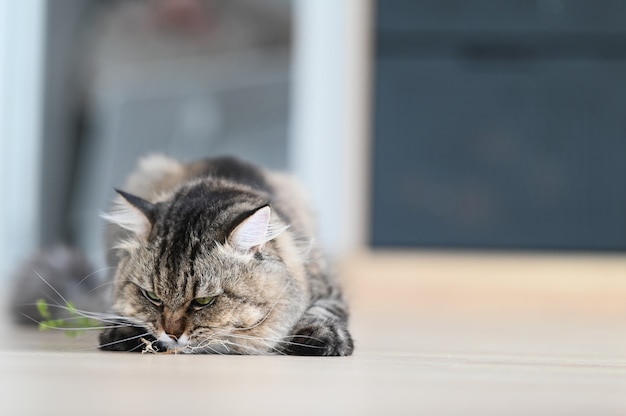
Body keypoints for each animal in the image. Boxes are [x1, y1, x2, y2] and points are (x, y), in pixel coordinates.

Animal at [97, 154, 352, 356]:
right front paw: (124, 332)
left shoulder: (328, 290)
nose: (171, 334)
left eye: (203, 301)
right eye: (152, 296)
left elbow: (321, 311)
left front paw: (318, 338)